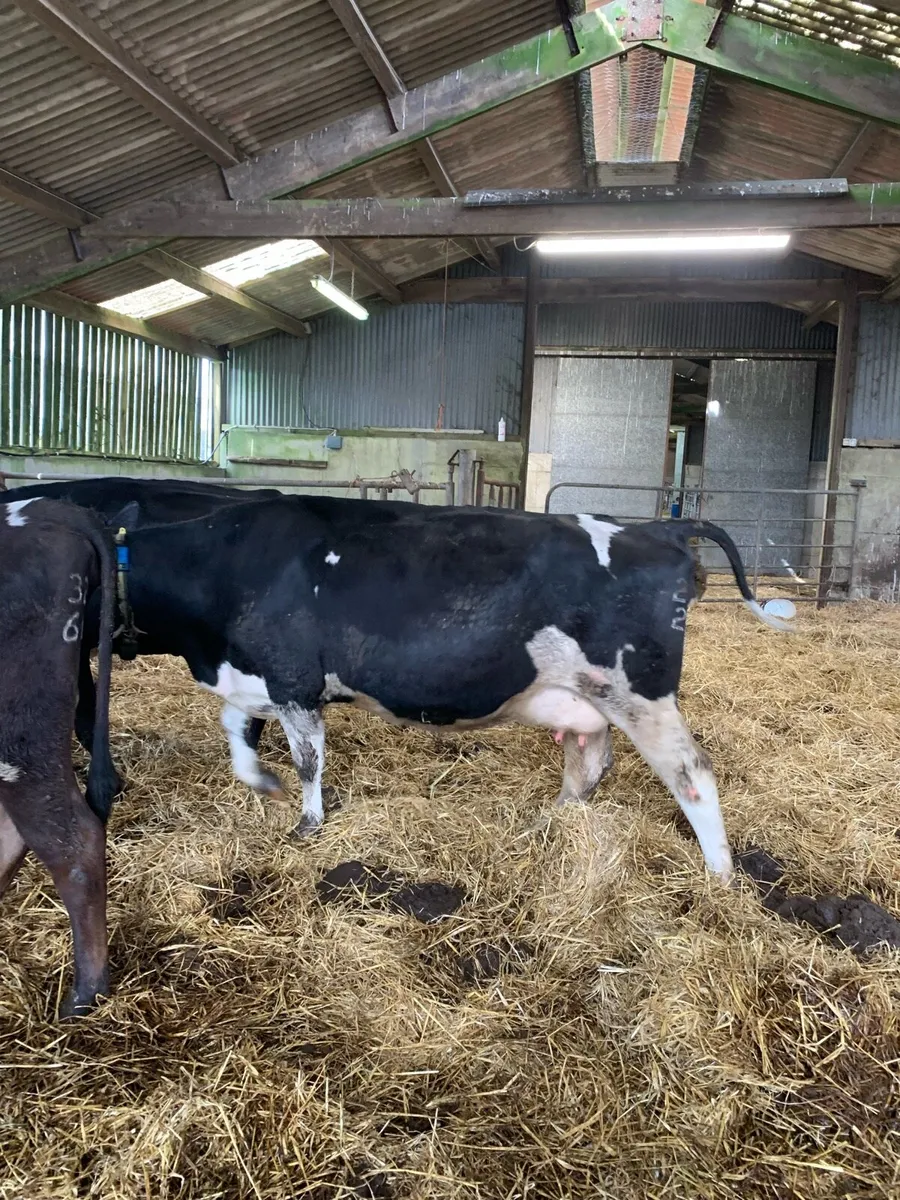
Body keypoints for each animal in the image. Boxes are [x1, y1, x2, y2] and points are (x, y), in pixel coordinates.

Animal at [105, 496, 787, 881]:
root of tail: (656, 529)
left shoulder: (293, 678)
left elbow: (307, 761)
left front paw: (307, 824)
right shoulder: (251, 680)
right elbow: (238, 738)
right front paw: (262, 784)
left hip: (639, 693)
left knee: (692, 773)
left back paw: (720, 877)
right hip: (588, 697)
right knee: (588, 765)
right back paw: (552, 823)